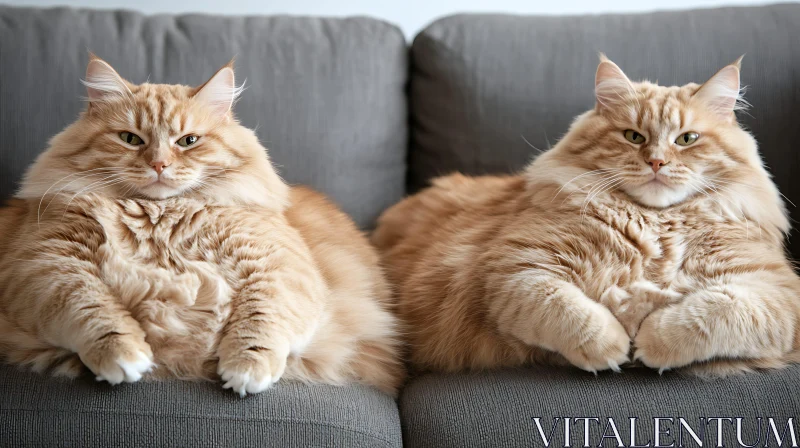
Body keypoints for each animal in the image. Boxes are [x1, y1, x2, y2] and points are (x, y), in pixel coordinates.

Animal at [0, 55, 404, 396]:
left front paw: (246, 367)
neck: (159, 216)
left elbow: (261, 316)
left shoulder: (277, 265)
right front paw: (123, 353)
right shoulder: (46, 263)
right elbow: (92, 308)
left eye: (188, 141)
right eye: (130, 139)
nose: (159, 164)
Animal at [374, 57, 800, 378]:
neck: (655, 224)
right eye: (633, 137)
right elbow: (572, 313)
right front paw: (615, 346)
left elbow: (712, 312)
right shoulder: (517, 270)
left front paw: (653, 339)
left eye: (686, 139)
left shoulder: (776, 291)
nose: (656, 162)